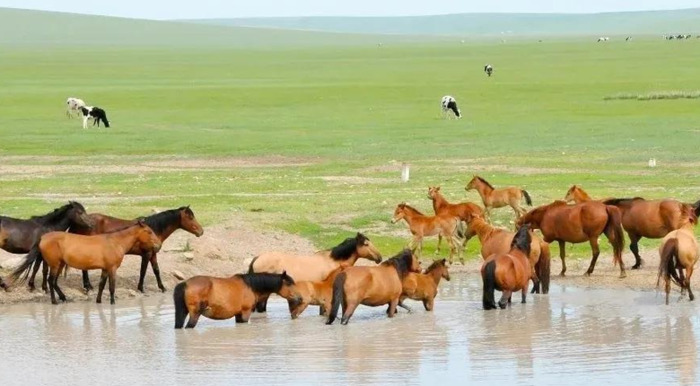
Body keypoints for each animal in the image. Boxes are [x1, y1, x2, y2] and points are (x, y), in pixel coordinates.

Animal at [12, 220, 161, 304]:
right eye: (149, 231)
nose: (158, 245)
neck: (115, 242)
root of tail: (43, 237)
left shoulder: (105, 269)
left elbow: (101, 285)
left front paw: (99, 301)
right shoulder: (112, 268)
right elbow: (111, 287)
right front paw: (112, 302)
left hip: (60, 264)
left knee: (54, 282)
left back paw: (64, 298)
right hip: (54, 264)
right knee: (50, 281)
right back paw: (54, 301)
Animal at [30, 207, 205, 294]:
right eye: (190, 217)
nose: (201, 231)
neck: (152, 229)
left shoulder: (153, 254)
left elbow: (156, 270)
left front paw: (162, 287)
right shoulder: (146, 254)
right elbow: (143, 271)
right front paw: (141, 288)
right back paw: (87, 286)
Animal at [174, 272, 302, 328]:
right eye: (289, 283)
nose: (300, 298)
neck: (251, 286)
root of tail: (185, 283)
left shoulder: (238, 314)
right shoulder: (245, 313)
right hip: (195, 314)